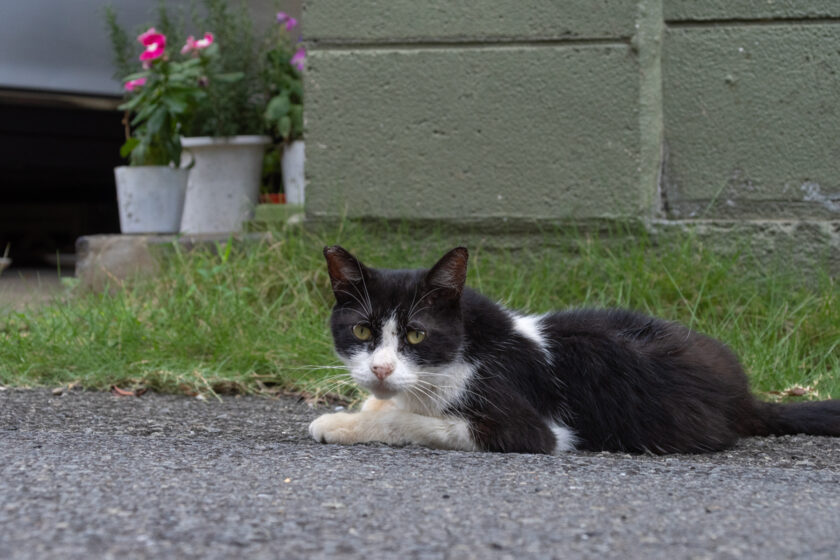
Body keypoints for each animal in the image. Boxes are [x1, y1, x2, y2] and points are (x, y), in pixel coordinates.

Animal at [308, 246, 840, 456]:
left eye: (416, 335)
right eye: (361, 331)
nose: (380, 368)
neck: (461, 353)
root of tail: (743, 396)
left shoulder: (531, 428)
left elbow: (413, 421)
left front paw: (341, 423)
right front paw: (365, 405)